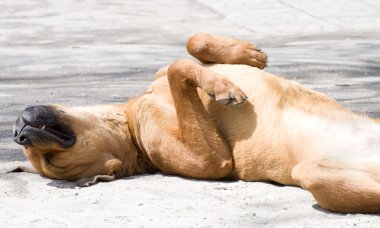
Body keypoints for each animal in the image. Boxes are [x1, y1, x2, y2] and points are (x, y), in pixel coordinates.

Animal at [11, 33, 380, 214]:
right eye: (50, 161)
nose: (18, 134)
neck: (130, 124)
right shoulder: (213, 160)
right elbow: (180, 67)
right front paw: (222, 86)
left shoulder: (161, 75)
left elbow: (190, 46)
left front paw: (246, 54)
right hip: (313, 174)